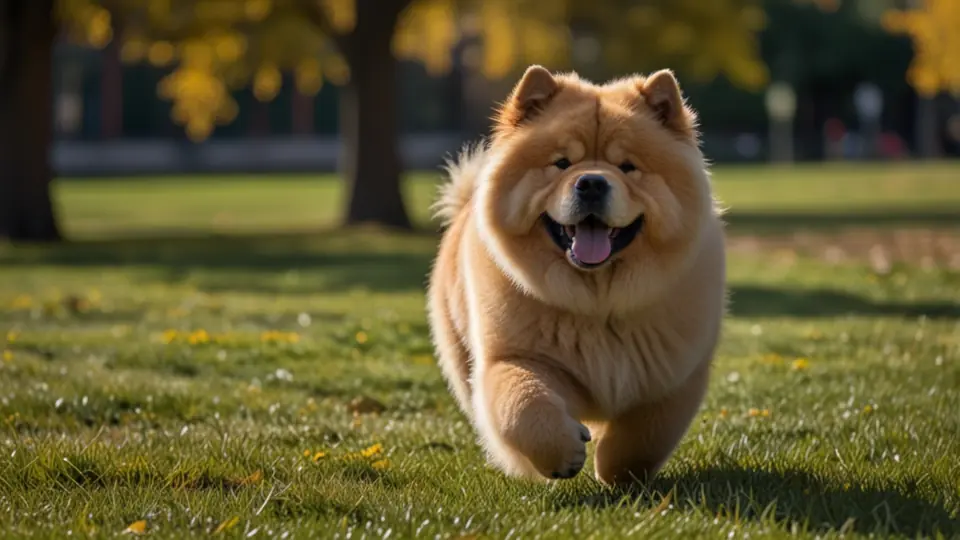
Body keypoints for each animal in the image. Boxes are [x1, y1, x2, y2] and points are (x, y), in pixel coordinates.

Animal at [428, 65, 728, 488]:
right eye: (562, 163)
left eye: (627, 166)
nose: (591, 182)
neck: (596, 304)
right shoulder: (513, 357)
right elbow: (525, 405)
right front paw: (564, 455)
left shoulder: (673, 375)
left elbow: (644, 434)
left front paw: (618, 475)